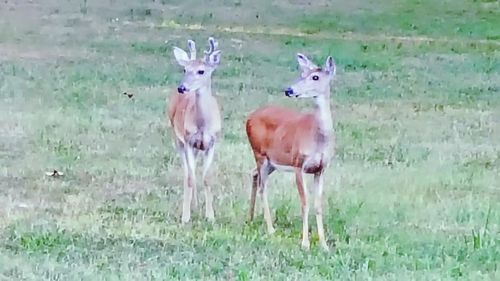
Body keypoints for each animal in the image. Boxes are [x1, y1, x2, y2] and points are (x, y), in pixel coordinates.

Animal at [168, 37, 223, 222]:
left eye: (201, 71)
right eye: (185, 69)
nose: (182, 87)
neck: (203, 125)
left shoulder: (212, 143)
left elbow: (207, 178)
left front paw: (210, 216)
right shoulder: (188, 141)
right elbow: (191, 178)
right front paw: (186, 217)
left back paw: (197, 205)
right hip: (177, 138)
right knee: (187, 173)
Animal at [245, 53, 336, 250]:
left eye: (315, 77)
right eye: (302, 74)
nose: (289, 90)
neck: (318, 138)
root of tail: (249, 117)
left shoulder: (321, 169)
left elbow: (318, 205)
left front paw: (324, 244)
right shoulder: (298, 164)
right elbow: (305, 202)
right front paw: (305, 243)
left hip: (272, 161)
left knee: (254, 174)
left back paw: (250, 218)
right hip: (259, 153)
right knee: (263, 186)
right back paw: (270, 229)